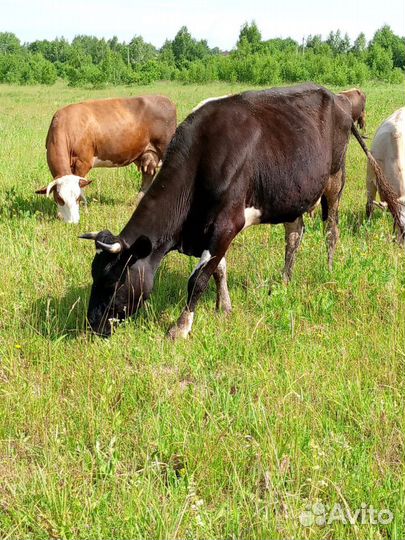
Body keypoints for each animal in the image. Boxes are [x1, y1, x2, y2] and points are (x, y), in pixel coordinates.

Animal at [36, 95, 177, 224]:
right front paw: (59, 214)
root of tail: (165, 99)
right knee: (148, 175)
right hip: (148, 154)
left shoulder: (83, 162)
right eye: (59, 198)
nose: (73, 222)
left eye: (77, 198)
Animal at [79, 84, 400, 338]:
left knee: (331, 229)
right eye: (94, 275)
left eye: (114, 280)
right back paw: (285, 281)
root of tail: (338, 99)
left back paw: (329, 269)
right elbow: (218, 269)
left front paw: (181, 327)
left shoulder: (226, 223)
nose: (93, 324)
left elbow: (198, 279)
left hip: (334, 179)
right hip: (292, 192)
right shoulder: (212, 229)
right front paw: (224, 307)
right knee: (295, 235)